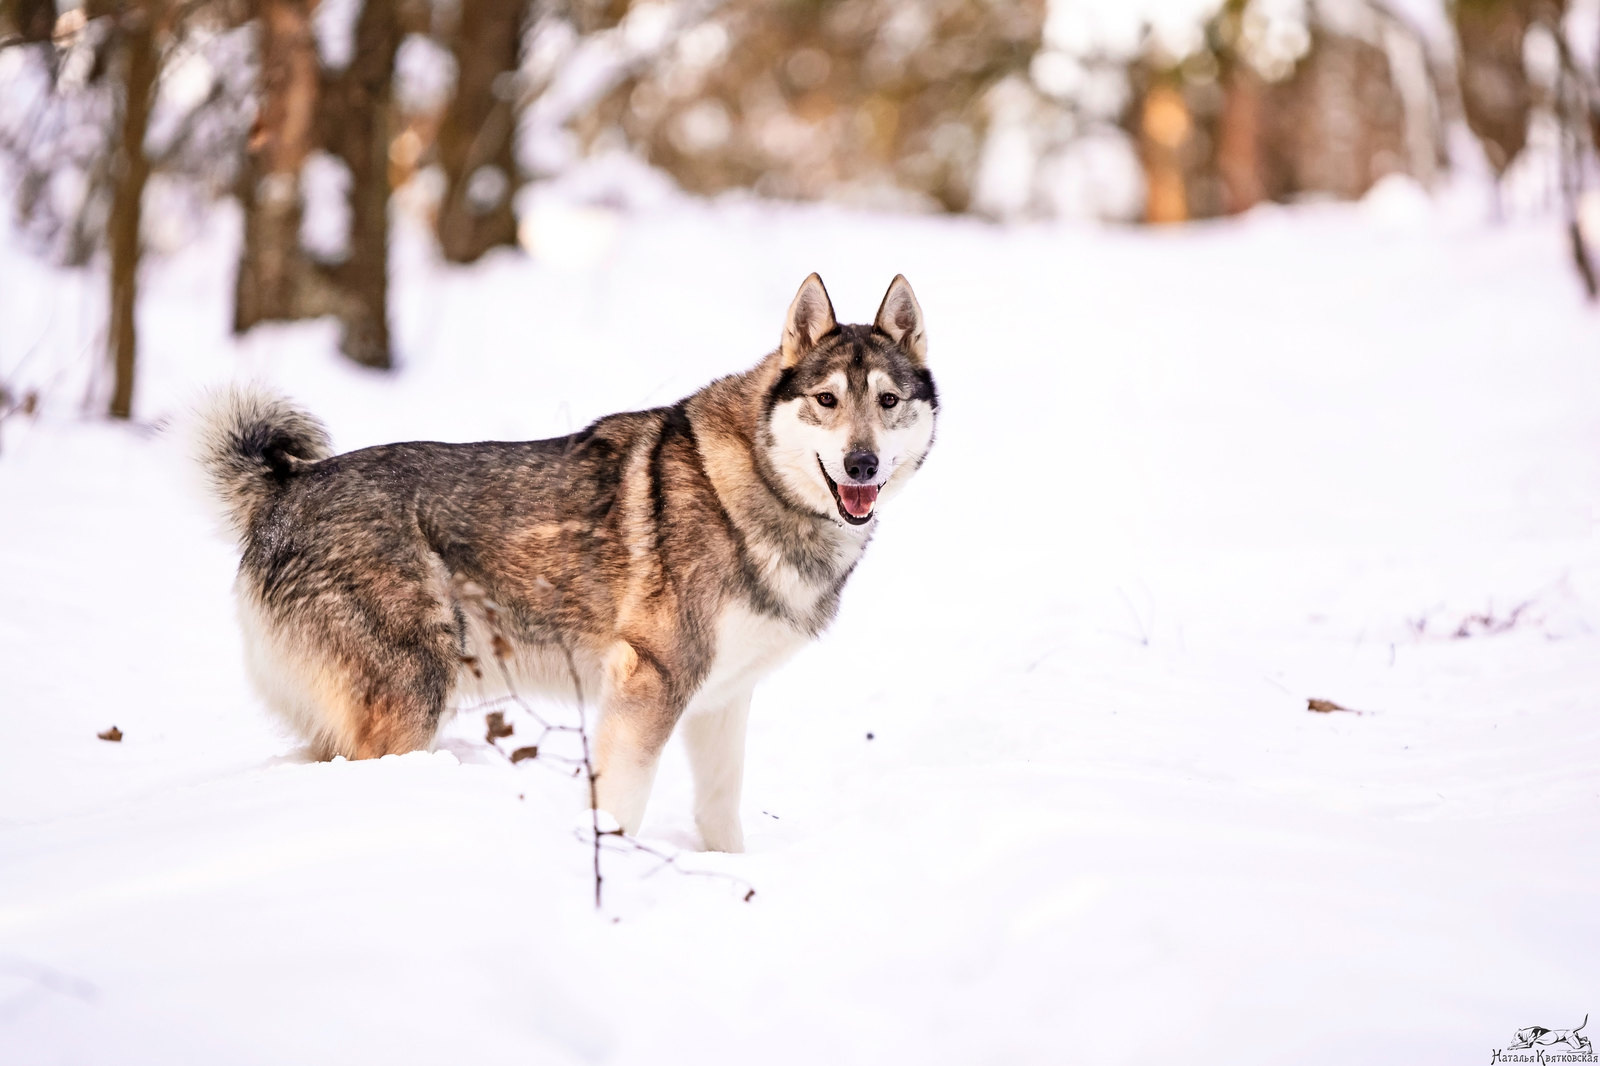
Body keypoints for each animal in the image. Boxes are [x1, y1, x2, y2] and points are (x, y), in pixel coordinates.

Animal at [196, 272, 934, 845]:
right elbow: (623, 808)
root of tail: (286, 485)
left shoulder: (721, 700)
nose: (861, 464)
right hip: (413, 705)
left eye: (888, 401)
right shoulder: (648, 682)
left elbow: (721, 815)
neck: (754, 487)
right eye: (826, 399)